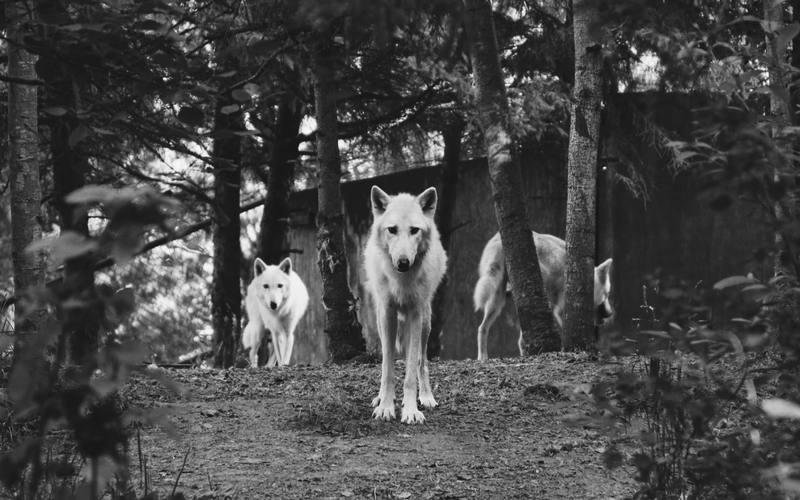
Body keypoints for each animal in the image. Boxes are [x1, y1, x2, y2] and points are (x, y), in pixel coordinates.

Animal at [364, 186, 447, 424]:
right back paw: (381, 398)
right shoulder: (388, 314)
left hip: (426, 322)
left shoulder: (415, 314)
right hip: (381, 321)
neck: (401, 280)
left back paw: (426, 397)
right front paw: (385, 407)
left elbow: (410, 372)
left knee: (421, 362)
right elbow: (387, 369)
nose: (402, 262)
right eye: (392, 229)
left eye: (414, 230)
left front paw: (411, 410)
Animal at [473, 231, 613, 361]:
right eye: (607, 294)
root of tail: (499, 240)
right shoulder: (560, 309)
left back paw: (483, 357)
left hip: (498, 301)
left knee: (482, 328)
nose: (610, 313)